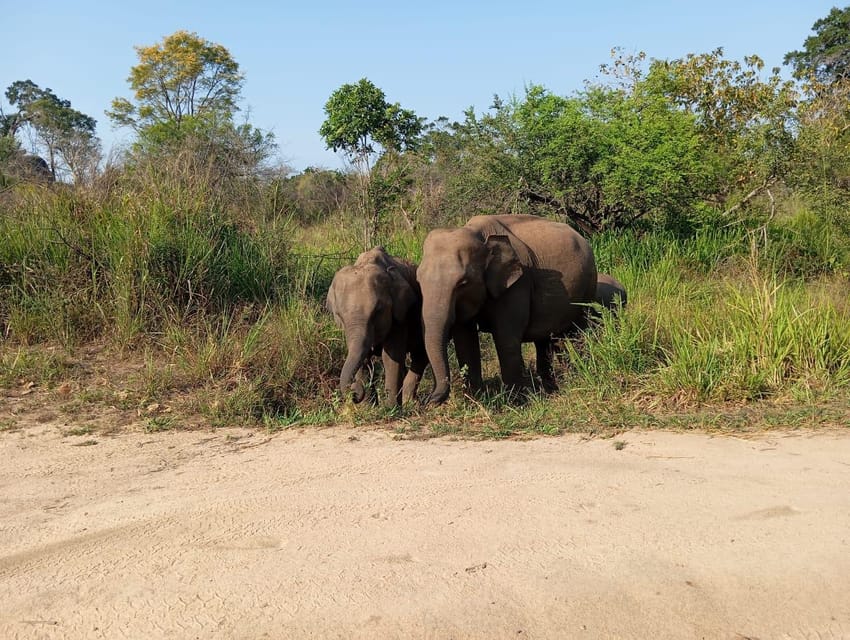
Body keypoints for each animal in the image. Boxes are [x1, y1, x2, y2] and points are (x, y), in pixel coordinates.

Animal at [326, 245, 428, 404]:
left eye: (378, 311)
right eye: (339, 315)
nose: (354, 392)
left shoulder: (400, 317)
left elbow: (391, 357)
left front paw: (390, 407)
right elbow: (363, 358)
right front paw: (368, 406)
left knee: (420, 355)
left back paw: (409, 402)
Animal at [418, 215, 596, 404]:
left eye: (463, 283)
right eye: (418, 280)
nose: (427, 400)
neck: (477, 233)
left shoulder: (517, 285)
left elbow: (506, 338)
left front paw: (517, 402)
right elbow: (465, 340)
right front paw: (476, 400)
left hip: (587, 290)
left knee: (577, 333)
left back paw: (579, 375)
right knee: (544, 339)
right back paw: (550, 387)